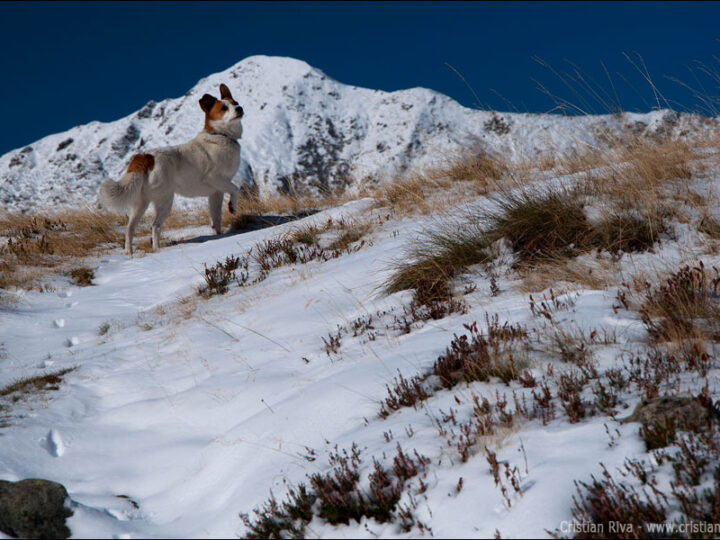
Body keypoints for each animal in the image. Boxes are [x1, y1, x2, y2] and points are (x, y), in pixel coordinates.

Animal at [98, 83, 246, 255]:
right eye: (224, 108)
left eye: (235, 102)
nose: (240, 108)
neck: (220, 136)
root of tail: (147, 156)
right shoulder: (215, 178)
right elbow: (235, 189)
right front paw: (232, 207)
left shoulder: (215, 193)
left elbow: (216, 218)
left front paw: (219, 235)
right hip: (165, 200)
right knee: (155, 226)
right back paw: (157, 249)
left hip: (139, 204)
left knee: (130, 228)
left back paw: (129, 253)